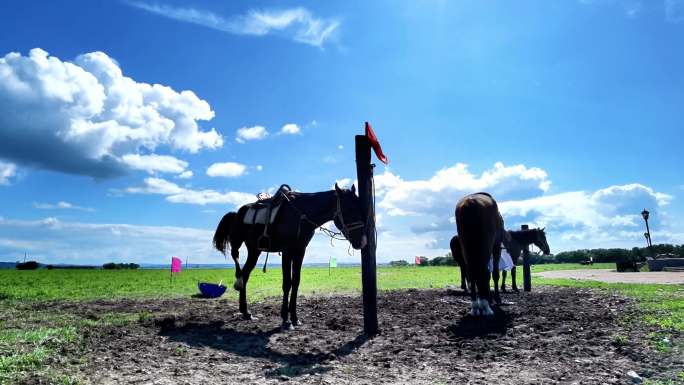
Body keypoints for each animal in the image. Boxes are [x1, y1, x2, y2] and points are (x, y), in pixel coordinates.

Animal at [212, 184, 366, 328]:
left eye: (361, 207)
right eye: (350, 209)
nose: (362, 242)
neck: (300, 216)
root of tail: (236, 213)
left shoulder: (300, 251)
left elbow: (296, 282)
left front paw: (295, 318)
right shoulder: (287, 252)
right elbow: (287, 283)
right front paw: (286, 319)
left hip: (254, 251)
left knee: (245, 274)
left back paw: (245, 312)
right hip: (239, 243)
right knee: (236, 260)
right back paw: (239, 289)